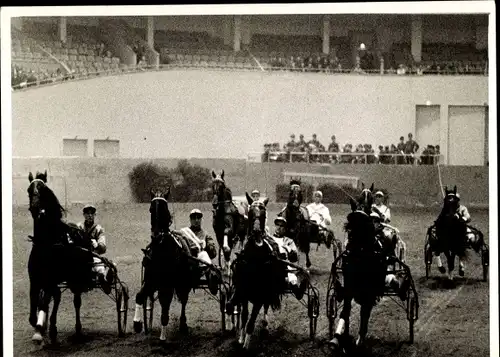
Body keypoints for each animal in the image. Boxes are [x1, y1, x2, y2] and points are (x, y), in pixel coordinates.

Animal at [26, 171, 94, 344]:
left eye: (43, 189)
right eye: (29, 190)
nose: (36, 208)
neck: (46, 244)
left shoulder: (51, 280)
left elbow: (46, 301)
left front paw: (43, 329)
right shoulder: (35, 281)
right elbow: (34, 311)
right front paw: (40, 328)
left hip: (76, 279)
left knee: (76, 301)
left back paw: (77, 330)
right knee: (55, 297)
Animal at [134, 186, 198, 340]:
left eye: (164, 208)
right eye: (151, 209)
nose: (157, 234)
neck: (161, 249)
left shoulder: (167, 285)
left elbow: (165, 305)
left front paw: (163, 337)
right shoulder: (150, 282)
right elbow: (139, 296)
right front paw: (137, 324)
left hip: (183, 283)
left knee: (183, 301)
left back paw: (183, 325)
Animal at [228, 193, 286, 350]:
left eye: (264, 213)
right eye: (250, 213)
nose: (257, 233)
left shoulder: (260, 295)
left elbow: (252, 319)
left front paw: (246, 345)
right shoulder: (242, 292)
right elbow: (244, 316)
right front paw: (241, 338)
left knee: (266, 306)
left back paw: (265, 326)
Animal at [330, 184, 388, 350]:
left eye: (371, 200)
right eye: (359, 197)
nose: (358, 214)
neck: (360, 252)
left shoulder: (369, 288)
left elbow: (365, 311)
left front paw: (360, 339)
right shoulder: (349, 284)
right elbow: (345, 311)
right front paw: (338, 338)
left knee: (366, 310)